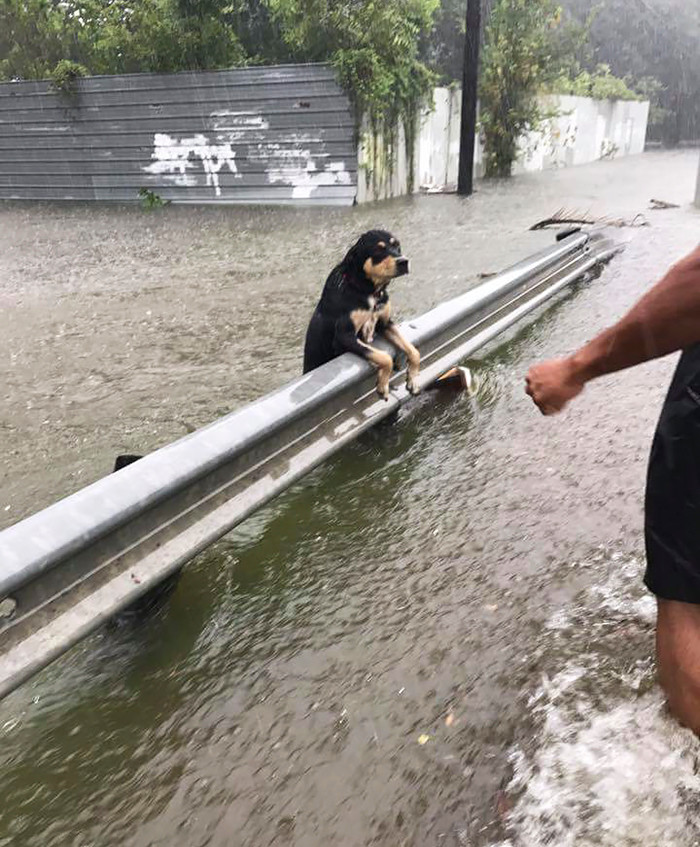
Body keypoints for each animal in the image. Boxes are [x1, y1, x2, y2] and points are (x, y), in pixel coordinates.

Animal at [302, 230, 422, 400]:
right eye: (378, 250)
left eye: (397, 245)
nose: (403, 261)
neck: (367, 290)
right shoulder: (344, 336)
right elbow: (384, 357)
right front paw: (382, 386)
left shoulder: (385, 323)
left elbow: (413, 351)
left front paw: (413, 380)